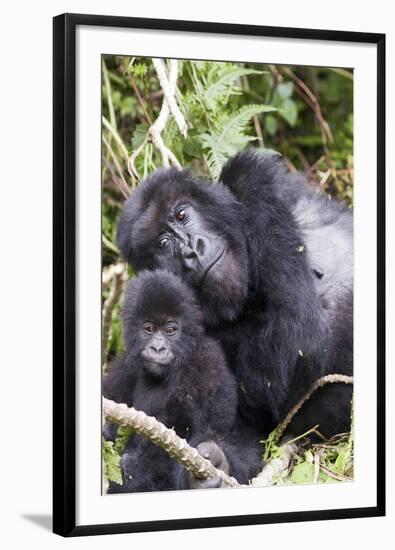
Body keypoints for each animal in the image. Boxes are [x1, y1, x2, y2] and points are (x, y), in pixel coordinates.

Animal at [102, 272, 262, 496]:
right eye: (150, 329)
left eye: (170, 330)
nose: (158, 348)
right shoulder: (127, 363)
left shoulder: (207, 361)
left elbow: (204, 429)